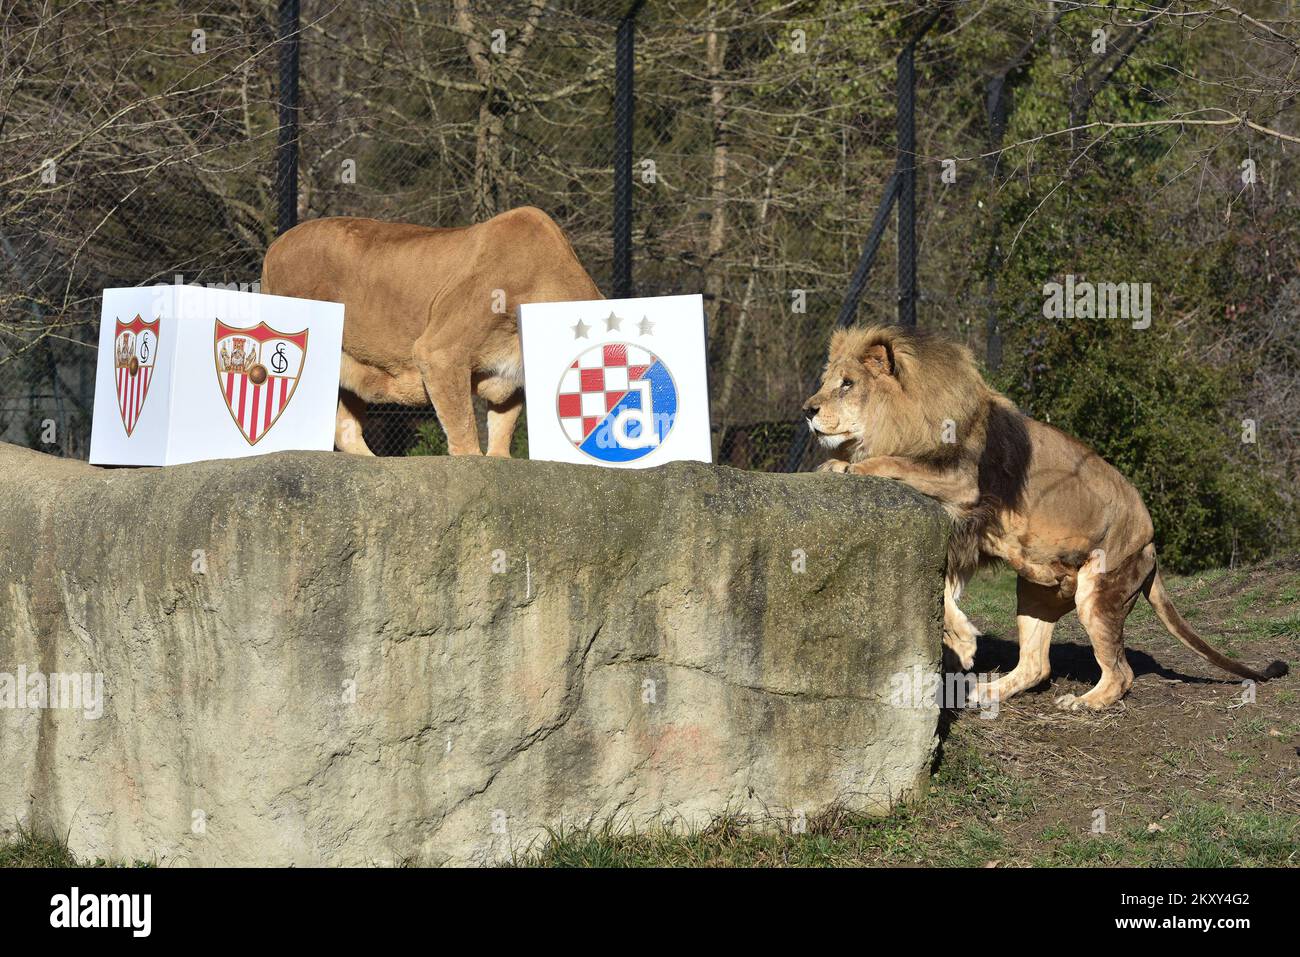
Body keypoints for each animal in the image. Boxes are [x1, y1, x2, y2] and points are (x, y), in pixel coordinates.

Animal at [267, 204, 608, 455]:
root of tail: (275, 245)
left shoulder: (509, 381)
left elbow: (501, 434)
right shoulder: (440, 353)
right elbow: (464, 432)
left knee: (344, 427)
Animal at [800, 325, 1289, 707]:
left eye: (847, 383)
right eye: (827, 382)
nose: (807, 410)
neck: (900, 416)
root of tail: (1152, 544)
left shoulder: (961, 484)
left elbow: (887, 463)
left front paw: (842, 466)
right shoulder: (963, 535)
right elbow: (942, 590)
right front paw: (963, 641)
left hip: (1098, 592)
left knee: (1121, 672)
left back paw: (1085, 703)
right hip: (1036, 589)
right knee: (1037, 665)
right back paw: (985, 693)